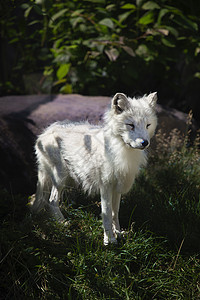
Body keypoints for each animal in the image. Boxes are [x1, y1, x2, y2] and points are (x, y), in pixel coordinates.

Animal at [31, 92, 157, 245]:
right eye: (130, 125)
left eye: (147, 125)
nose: (145, 143)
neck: (119, 150)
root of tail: (46, 131)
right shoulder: (106, 186)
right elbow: (107, 214)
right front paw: (109, 240)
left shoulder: (117, 187)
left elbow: (115, 213)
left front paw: (118, 233)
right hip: (60, 179)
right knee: (51, 201)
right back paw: (63, 223)